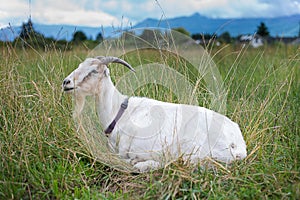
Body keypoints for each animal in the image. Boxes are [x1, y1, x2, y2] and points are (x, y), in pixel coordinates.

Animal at [62, 56, 247, 172]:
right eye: (79, 66)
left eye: (93, 71)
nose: (66, 82)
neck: (119, 112)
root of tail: (238, 144)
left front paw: (139, 163)